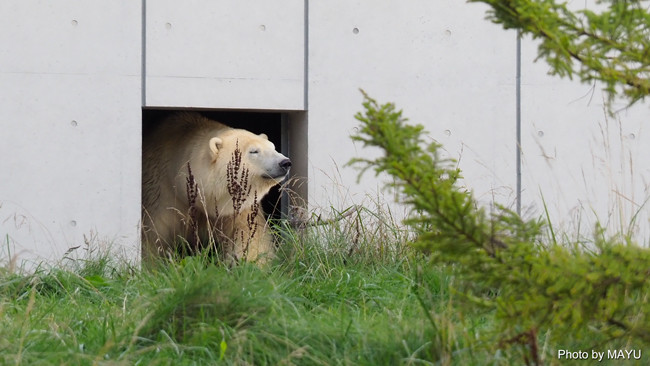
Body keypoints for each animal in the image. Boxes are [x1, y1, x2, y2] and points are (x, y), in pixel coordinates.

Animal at [144, 111, 292, 264]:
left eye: (273, 147)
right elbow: (153, 236)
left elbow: (249, 233)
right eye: (254, 151)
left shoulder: (235, 206)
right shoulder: (161, 194)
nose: (285, 162)